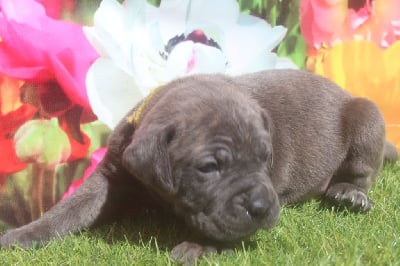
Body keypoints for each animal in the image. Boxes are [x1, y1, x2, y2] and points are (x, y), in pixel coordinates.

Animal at [0, 69, 396, 262]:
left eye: (265, 158)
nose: (262, 207)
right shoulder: (111, 175)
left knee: (363, 170)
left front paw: (201, 245)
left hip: (367, 117)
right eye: (208, 168)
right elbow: (70, 209)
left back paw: (349, 194)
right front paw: (25, 233)